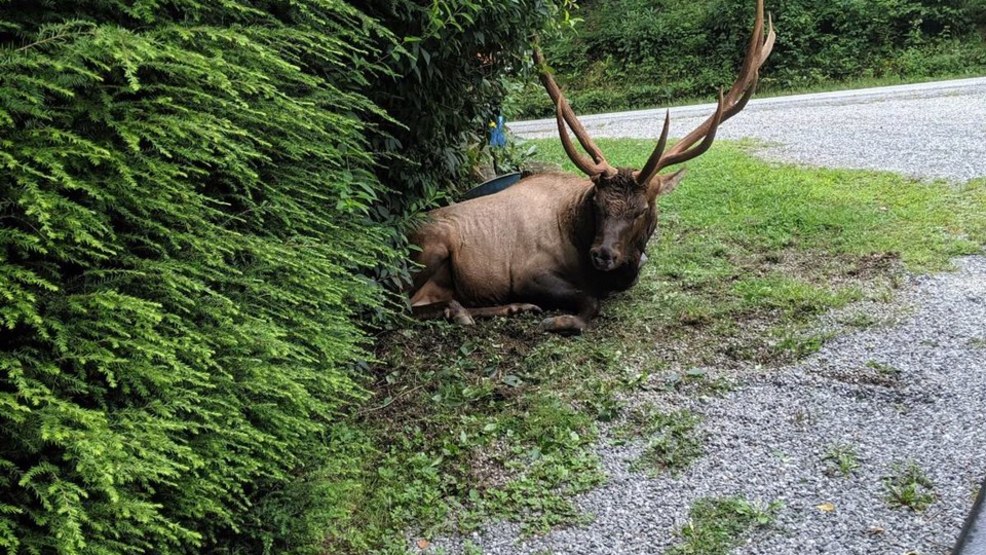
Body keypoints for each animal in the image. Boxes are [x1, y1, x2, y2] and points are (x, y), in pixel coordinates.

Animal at [408, 0, 775, 334]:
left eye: (642, 210)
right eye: (597, 204)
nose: (602, 254)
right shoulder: (528, 272)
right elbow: (590, 301)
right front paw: (562, 320)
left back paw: (509, 307)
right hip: (429, 248)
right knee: (404, 309)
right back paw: (462, 311)